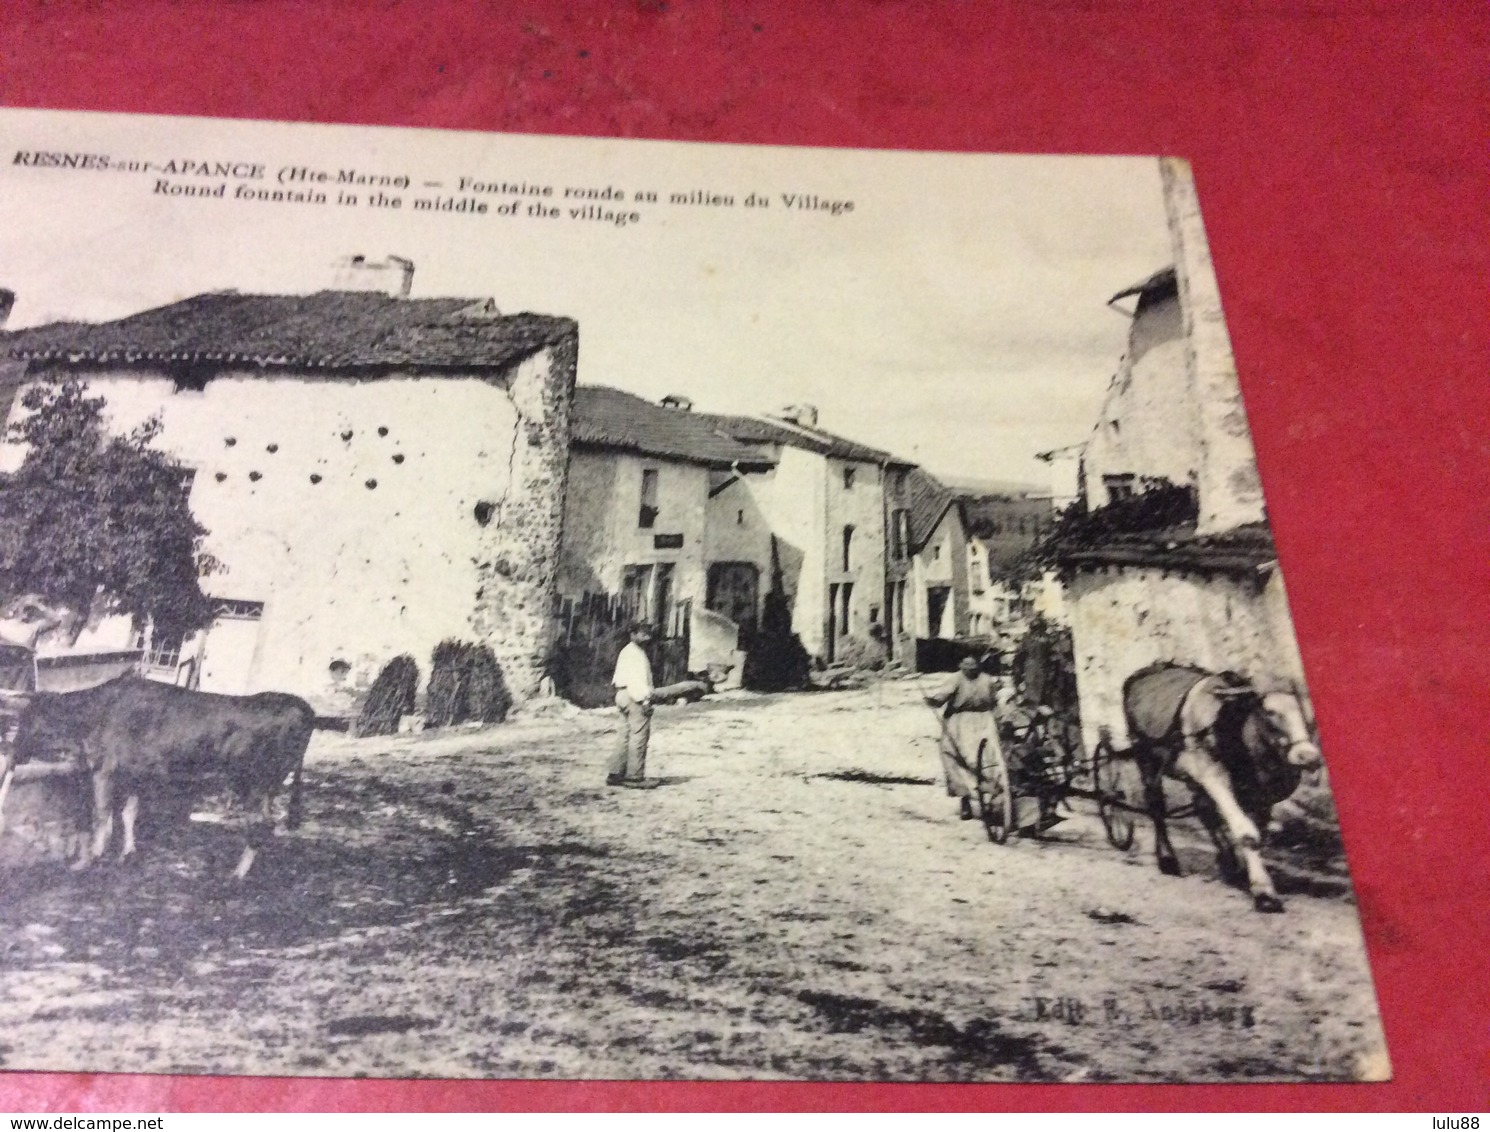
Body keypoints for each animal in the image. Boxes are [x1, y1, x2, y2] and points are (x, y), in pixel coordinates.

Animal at [9, 676, 314, 881]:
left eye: (26, 720)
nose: (13, 752)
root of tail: (301, 707)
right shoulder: (134, 772)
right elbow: (128, 813)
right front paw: (126, 854)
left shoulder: (104, 768)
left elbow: (102, 814)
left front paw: (89, 859)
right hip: (270, 785)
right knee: (269, 824)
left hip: (252, 781)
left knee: (261, 824)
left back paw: (236, 875)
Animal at [1120, 664, 1323, 911]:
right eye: (1269, 711)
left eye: (1304, 709)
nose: (1308, 757)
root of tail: (1150, 669)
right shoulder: (1214, 777)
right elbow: (1248, 834)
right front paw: (1264, 891)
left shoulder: (1262, 795)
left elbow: (1258, 832)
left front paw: (1243, 870)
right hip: (1147, 759)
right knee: (1156, 804)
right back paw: (1168, 858)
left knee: (1204, 810)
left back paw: (1228, 862)